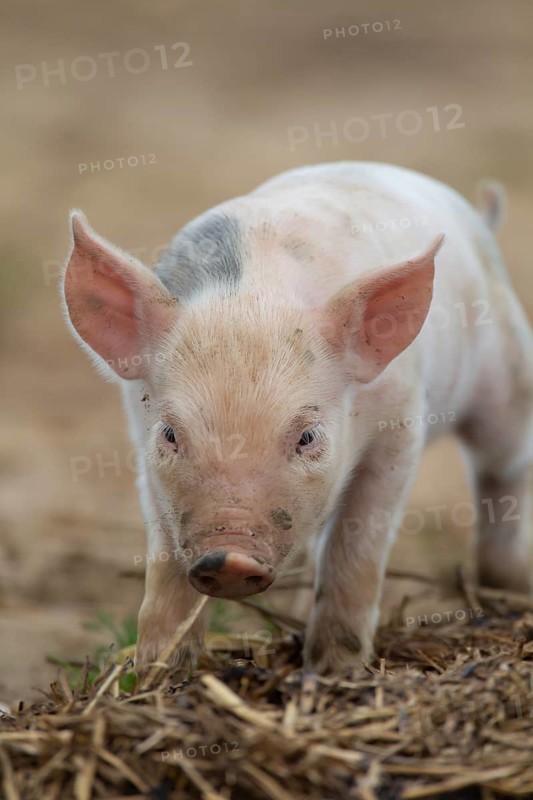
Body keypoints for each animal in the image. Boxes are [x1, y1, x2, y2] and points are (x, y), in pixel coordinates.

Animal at [62, 162, 533, 675]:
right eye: (169, 434)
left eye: (307, 436)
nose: (230, 558)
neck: (253, 295)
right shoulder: (142, 443)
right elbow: (166, 568)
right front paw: (158, 674)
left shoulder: (401, 423)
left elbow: (357, 548)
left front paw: (334, 672)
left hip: (507, 373)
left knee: (503, 467)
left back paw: (510, 583)